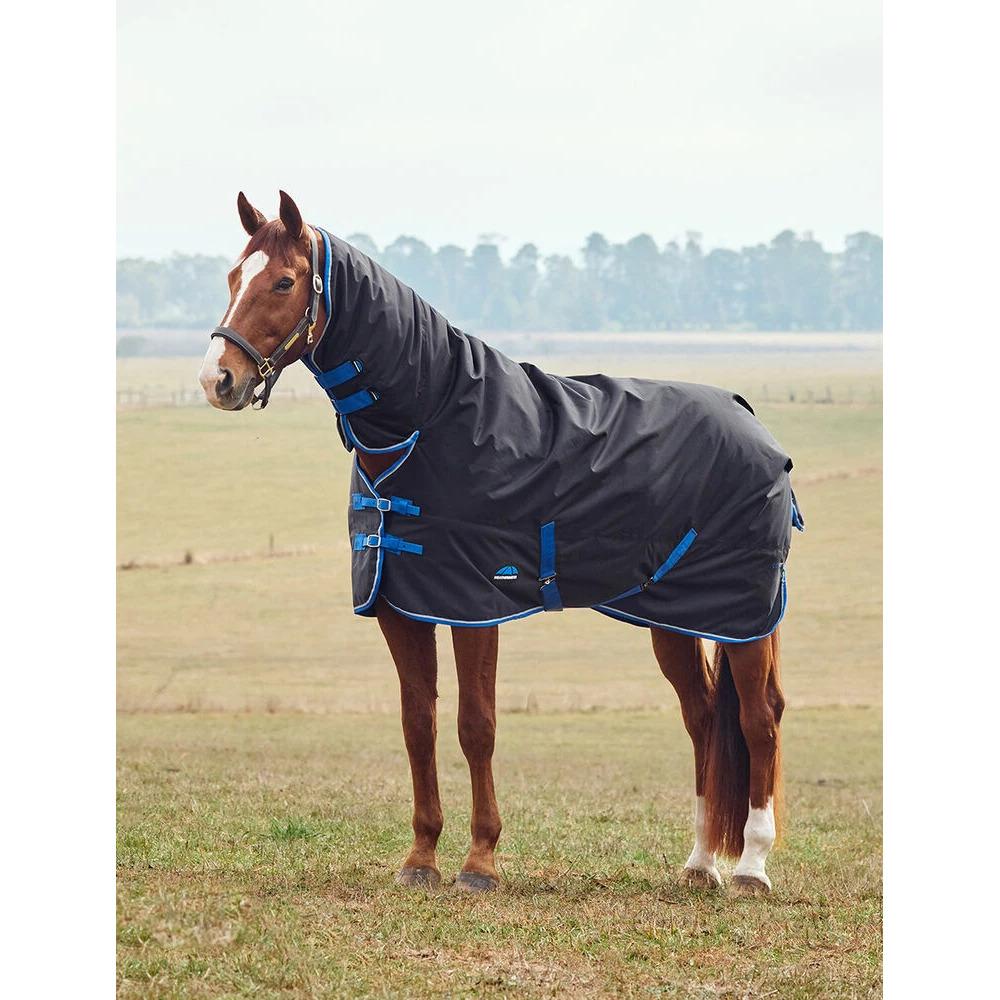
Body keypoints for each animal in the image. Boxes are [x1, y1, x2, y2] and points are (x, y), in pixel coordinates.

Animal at [198, 190, 798, 895]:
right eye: (233, 277)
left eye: (285, 282)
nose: (218, 379)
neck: (429, 421)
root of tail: (750, 419)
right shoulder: (401, 607)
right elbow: (419, 725)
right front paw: (421, 858)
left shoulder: (473, 605)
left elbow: (475, 726)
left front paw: (480, 861)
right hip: (675, 618)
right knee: (703, 718)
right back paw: (701, 863)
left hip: (744, 618)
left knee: (759, 720)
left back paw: (751, 868)